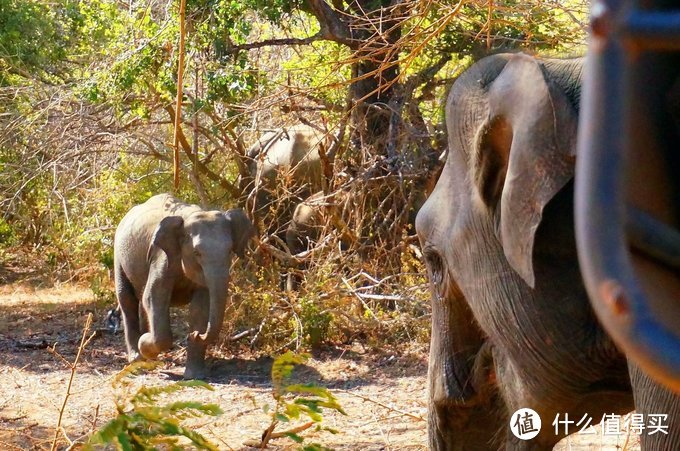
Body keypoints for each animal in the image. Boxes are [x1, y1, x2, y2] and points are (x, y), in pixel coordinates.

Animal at [113, 194, 255, 382]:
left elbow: (201, 307)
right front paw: (144, 343)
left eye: (230, 251)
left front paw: (195, 376)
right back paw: (136, 359)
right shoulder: (161, 257)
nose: (196, 334)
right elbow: (153, 296)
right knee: (128, 300)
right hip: (118, 255)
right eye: (197, 253)